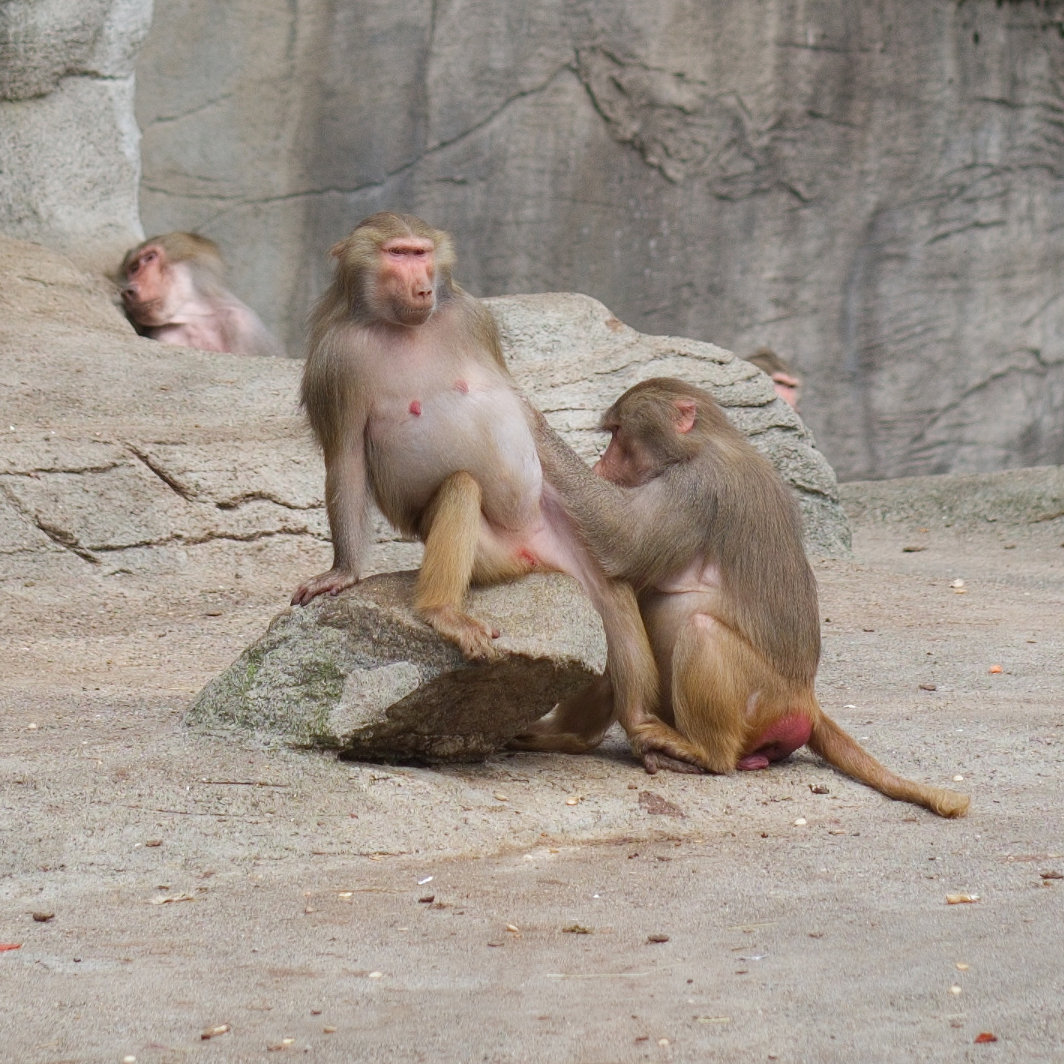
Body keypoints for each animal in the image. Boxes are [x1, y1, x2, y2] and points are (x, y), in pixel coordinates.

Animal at [118, 232, 284, 358]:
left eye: (149, 258)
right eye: (134, 268)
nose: (128, 290)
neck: (197, 316)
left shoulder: (244, 325)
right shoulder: (166, 334)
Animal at [290, 212, 708, 774]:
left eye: (421, 252)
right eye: (397, 253)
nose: (423, 286)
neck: (403, 326)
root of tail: (528, 553)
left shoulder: (474, 317)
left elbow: (515, 404)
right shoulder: (335, 361)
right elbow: (346, 462)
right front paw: (343, 573)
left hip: (563, 540)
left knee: (613, 598)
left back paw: (639, 725)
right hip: (488, 558)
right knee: (460, 487)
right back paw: (444, 613)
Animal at [515, 378, 969, 818]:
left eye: (617, 433)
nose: (599, 466)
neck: (701, 444)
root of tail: (804, 697)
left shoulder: (694, 487)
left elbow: (621, 541)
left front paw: (531, 419)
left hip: (760, 697)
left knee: (701, 634)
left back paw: (699, 751)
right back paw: (572, 737)